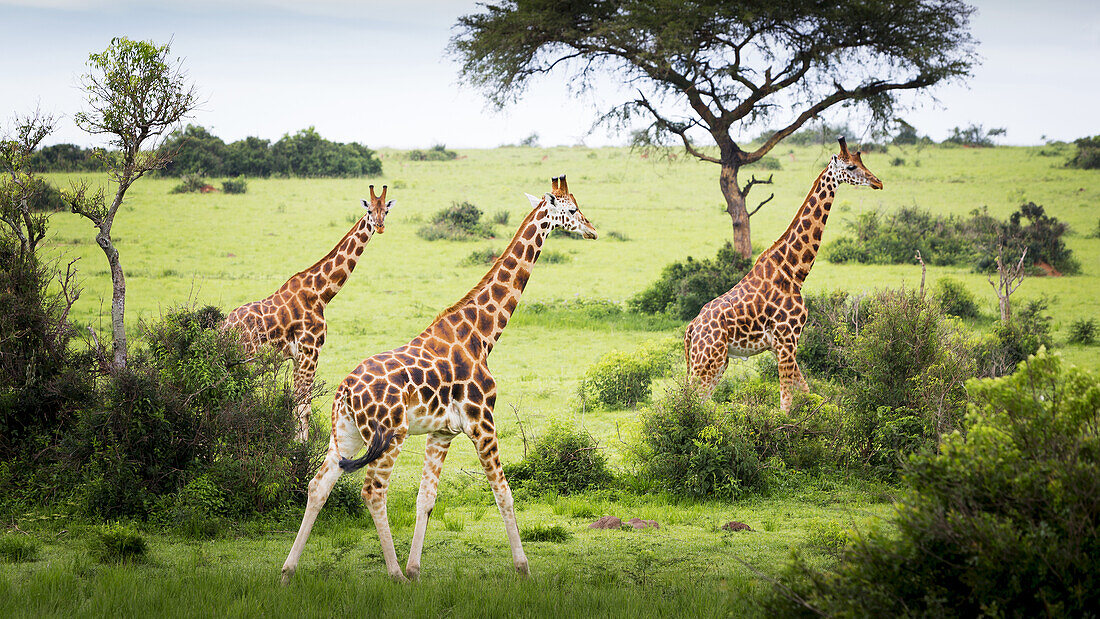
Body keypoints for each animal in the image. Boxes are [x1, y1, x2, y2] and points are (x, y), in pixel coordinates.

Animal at [223, 186, 396, 444]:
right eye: (369, 210)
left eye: (385, 210)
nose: (380, 225)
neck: (321, 293)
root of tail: (223, 327)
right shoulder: (310, 351)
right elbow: (303, 406)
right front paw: (300, 448)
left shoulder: (298, 356)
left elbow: (298, 404)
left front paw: (298, 444)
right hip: (246, 357)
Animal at [279, 175, 598, 584]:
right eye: (571, 209)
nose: (592, 230)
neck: (482, 334)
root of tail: (344, 392)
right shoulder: (483, 423)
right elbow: (504, 493)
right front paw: (523, 568)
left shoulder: (442, 432)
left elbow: (426, 498)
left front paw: (416, 569)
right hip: (390, 436)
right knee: (373, 491)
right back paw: (393, 574)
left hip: (346, 434)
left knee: (319, 485)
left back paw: (288, 571)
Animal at [682, 139, 880, 411]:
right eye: (851, 166)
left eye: (863, 162)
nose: (878, 182)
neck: (794, 271)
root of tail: (691, 328)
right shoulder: (787, 337)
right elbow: (785, 405)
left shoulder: (780, 344)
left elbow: (806, 392)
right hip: (708, 359)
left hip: (716, 361)